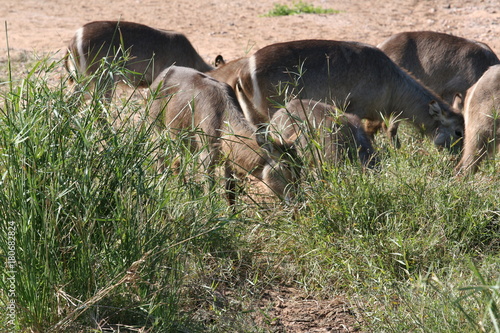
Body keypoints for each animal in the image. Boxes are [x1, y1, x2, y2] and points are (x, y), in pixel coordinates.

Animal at [148, 65, 300, 205]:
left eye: (299, 163)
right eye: (286, 165)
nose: (296, 198)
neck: (221, 119)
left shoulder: (229, 161)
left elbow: (230, 192)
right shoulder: (206, 157)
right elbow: (209, 191)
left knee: (177, 163)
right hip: (158, 131)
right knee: (159, 158)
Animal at [209, 38, 462, 150]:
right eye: (459, 131)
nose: (457, 159)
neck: (391, 80)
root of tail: (243, 70)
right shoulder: (358, 110)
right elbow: (372, 134)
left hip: (255, 116)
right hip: (274, 113)